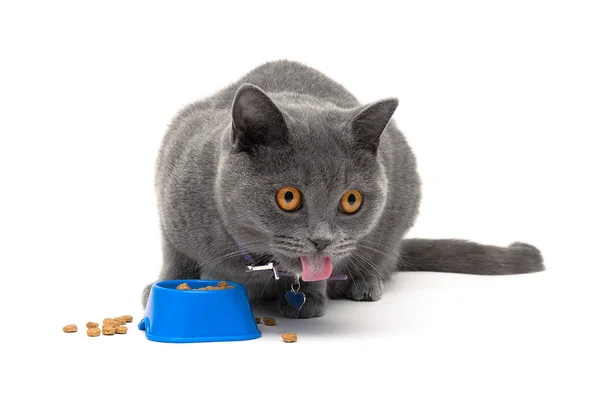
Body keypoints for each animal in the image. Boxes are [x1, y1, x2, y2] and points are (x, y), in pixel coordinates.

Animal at [143, 59, 548, 318]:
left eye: (351, 200)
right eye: (288, 197)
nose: (322, 240)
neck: (258, 263)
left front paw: (307, 301)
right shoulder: (171, 196)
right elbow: (176, 256)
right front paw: (157, 290)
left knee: (385, 260)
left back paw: (365, 283)